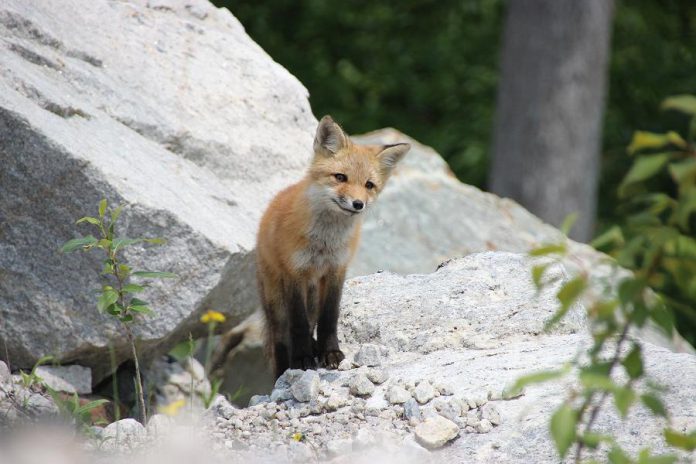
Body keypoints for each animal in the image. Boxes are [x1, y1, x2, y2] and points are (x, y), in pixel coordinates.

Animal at [256, 115, 408, 376]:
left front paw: (331, 354)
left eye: (369, 185)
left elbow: (329, 318)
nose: (358, 204)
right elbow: (298, 324)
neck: (324, 242)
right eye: (340, 177)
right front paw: (302, 359)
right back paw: (285, 369)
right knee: (281, 338)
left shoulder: (337, 270)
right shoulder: (294, 272)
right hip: (277, 302)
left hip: (313, 294)